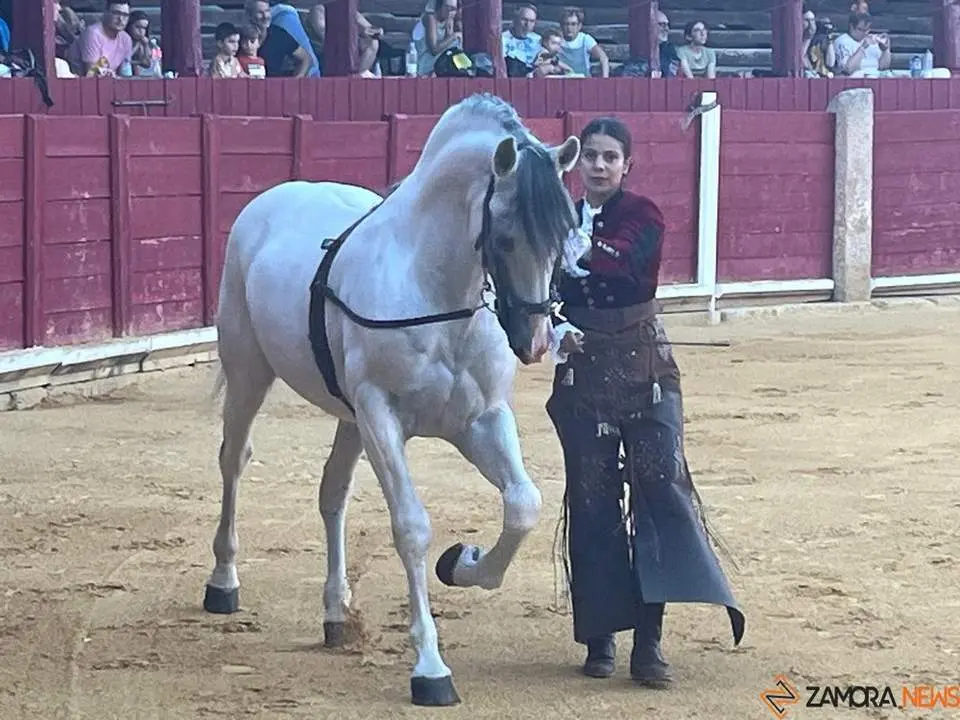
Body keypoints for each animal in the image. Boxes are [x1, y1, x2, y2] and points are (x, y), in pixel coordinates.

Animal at [203, 92, 581, 706]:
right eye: (504, 237)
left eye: (567, 231)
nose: (535, 341)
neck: (437, 294)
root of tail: (273, 199)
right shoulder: (382, 415)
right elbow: (411, 526)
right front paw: (430, 668)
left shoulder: (479, 420)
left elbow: (524, 503)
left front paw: (464, 563)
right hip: (249, 373)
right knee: (233, 461)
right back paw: (223, 583)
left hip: (349, 419)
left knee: (332, 492)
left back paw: (336, 613)